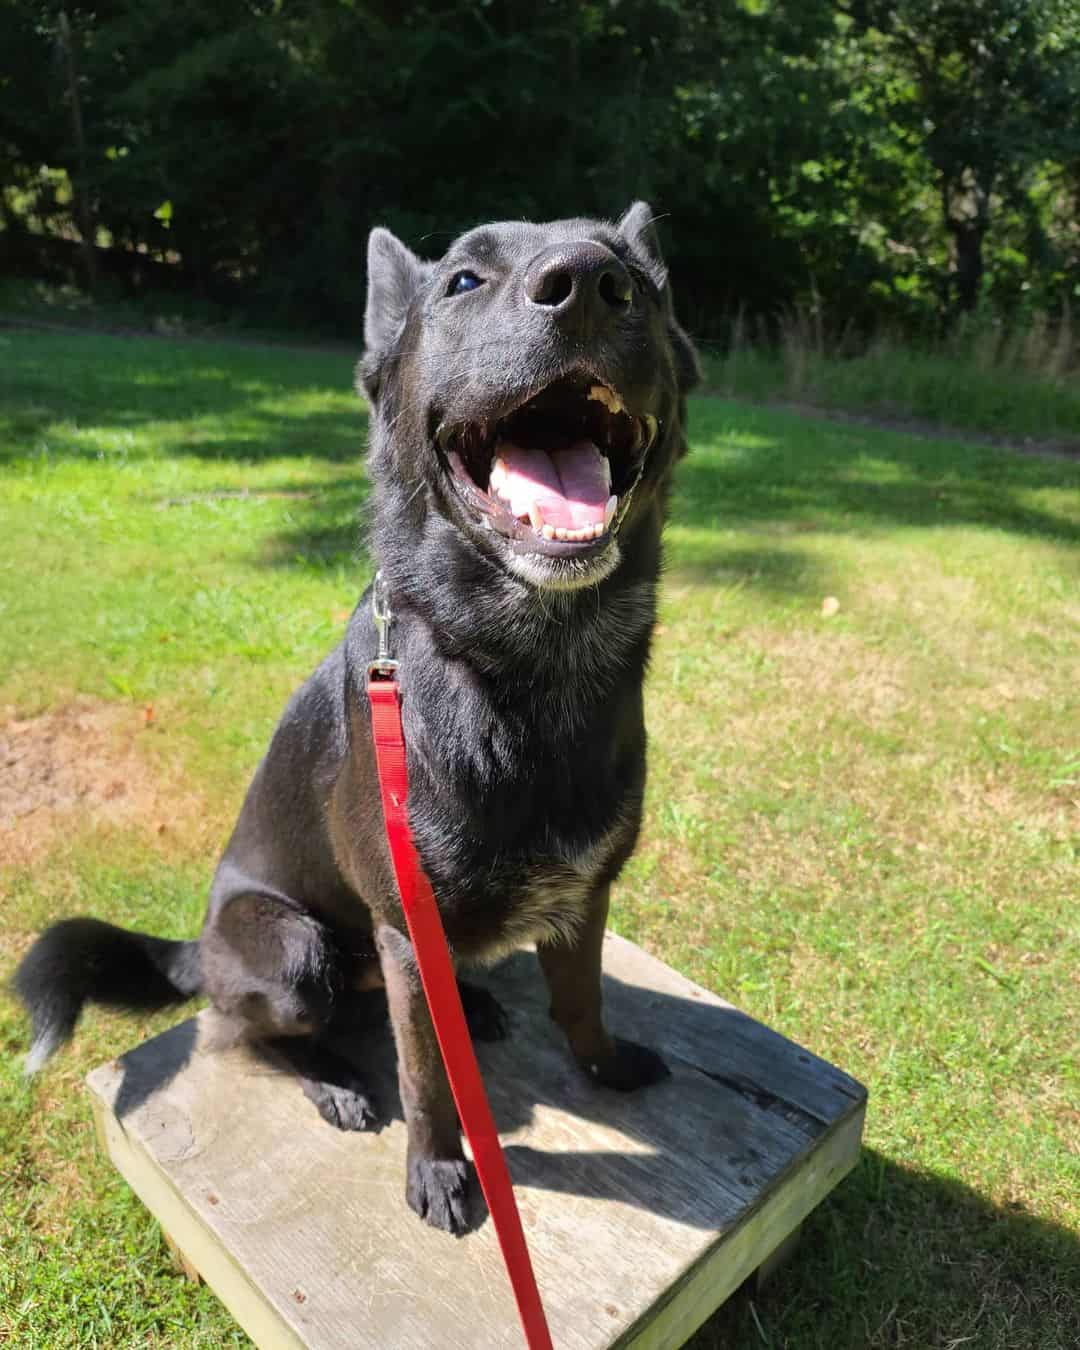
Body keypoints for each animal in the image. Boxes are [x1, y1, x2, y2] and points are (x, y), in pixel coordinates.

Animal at [14, 202, 702, 1236]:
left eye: (642, 283)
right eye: (463, 281)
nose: (587, 281)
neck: (525, 666)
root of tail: (199, 950)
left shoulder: (582, 899)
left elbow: (581, 1007)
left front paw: (606, 1069)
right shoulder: (405, 932)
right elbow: (427, 1080)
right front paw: (439, 1169)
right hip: (297, 955)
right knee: (246, 1035)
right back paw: (332, 1078)